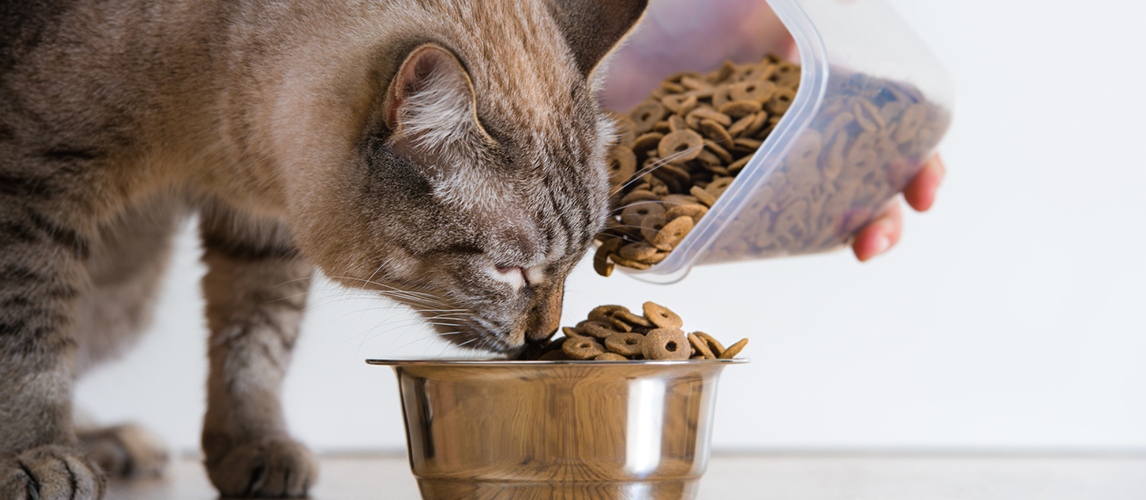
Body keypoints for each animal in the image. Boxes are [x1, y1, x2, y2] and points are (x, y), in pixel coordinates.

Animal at [0, 0, 646, 495]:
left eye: (575, 262)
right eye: (508, 270)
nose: (543, 336)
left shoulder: (261, 229)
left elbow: (255, 346)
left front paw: (255, 446)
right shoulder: (32, 189)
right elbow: (29, 343)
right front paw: (37, 455)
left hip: (126, 289)